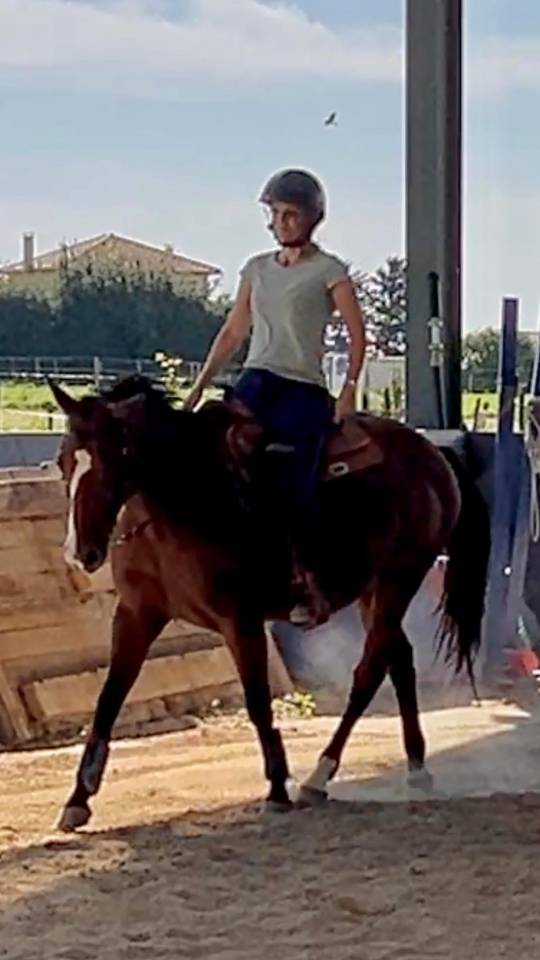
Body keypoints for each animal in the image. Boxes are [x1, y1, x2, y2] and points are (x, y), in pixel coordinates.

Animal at [49, 376, 491, 831]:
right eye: (64, 461)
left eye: (110, 462)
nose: (81, 553)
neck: (190, 497)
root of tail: (431, 453)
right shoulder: (137, 614)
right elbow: (108, 699)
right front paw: (78, 799)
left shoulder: (240, 621)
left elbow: (258, 702)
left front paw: (278, 788)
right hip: (375, 592)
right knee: (398, 659)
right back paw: (416, 767)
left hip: (399, 579)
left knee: (368, 673)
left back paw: (320, 775)